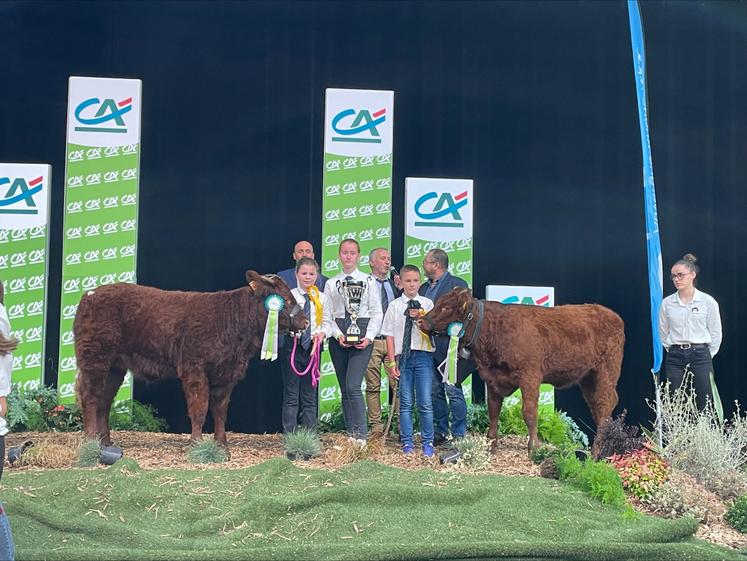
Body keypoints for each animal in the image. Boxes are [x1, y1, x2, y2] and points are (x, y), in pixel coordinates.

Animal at [74, 270, 308, 448]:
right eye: (286, 300)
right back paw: (91, 441)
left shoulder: (227, 374)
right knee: (90, 397)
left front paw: (221, 444)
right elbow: (199, 407)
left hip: (115, 366)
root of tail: (90, 294)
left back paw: (105, 442)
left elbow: (220, 410)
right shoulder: (194, 368)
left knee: (104, 401)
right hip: (95, 357)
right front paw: (197, 443)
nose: (305, 322)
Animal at [420, 288, 624, 456]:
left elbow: (529, 412)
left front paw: (534, 447)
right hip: (588, 378)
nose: (421, 321)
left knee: (604, 403)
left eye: (447, 307)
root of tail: (610, 314)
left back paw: (597, 450)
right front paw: (490, 444)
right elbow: (493, 410)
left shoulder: (530, 375)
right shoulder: (492, 378)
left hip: (606, 370)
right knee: (599, 405)